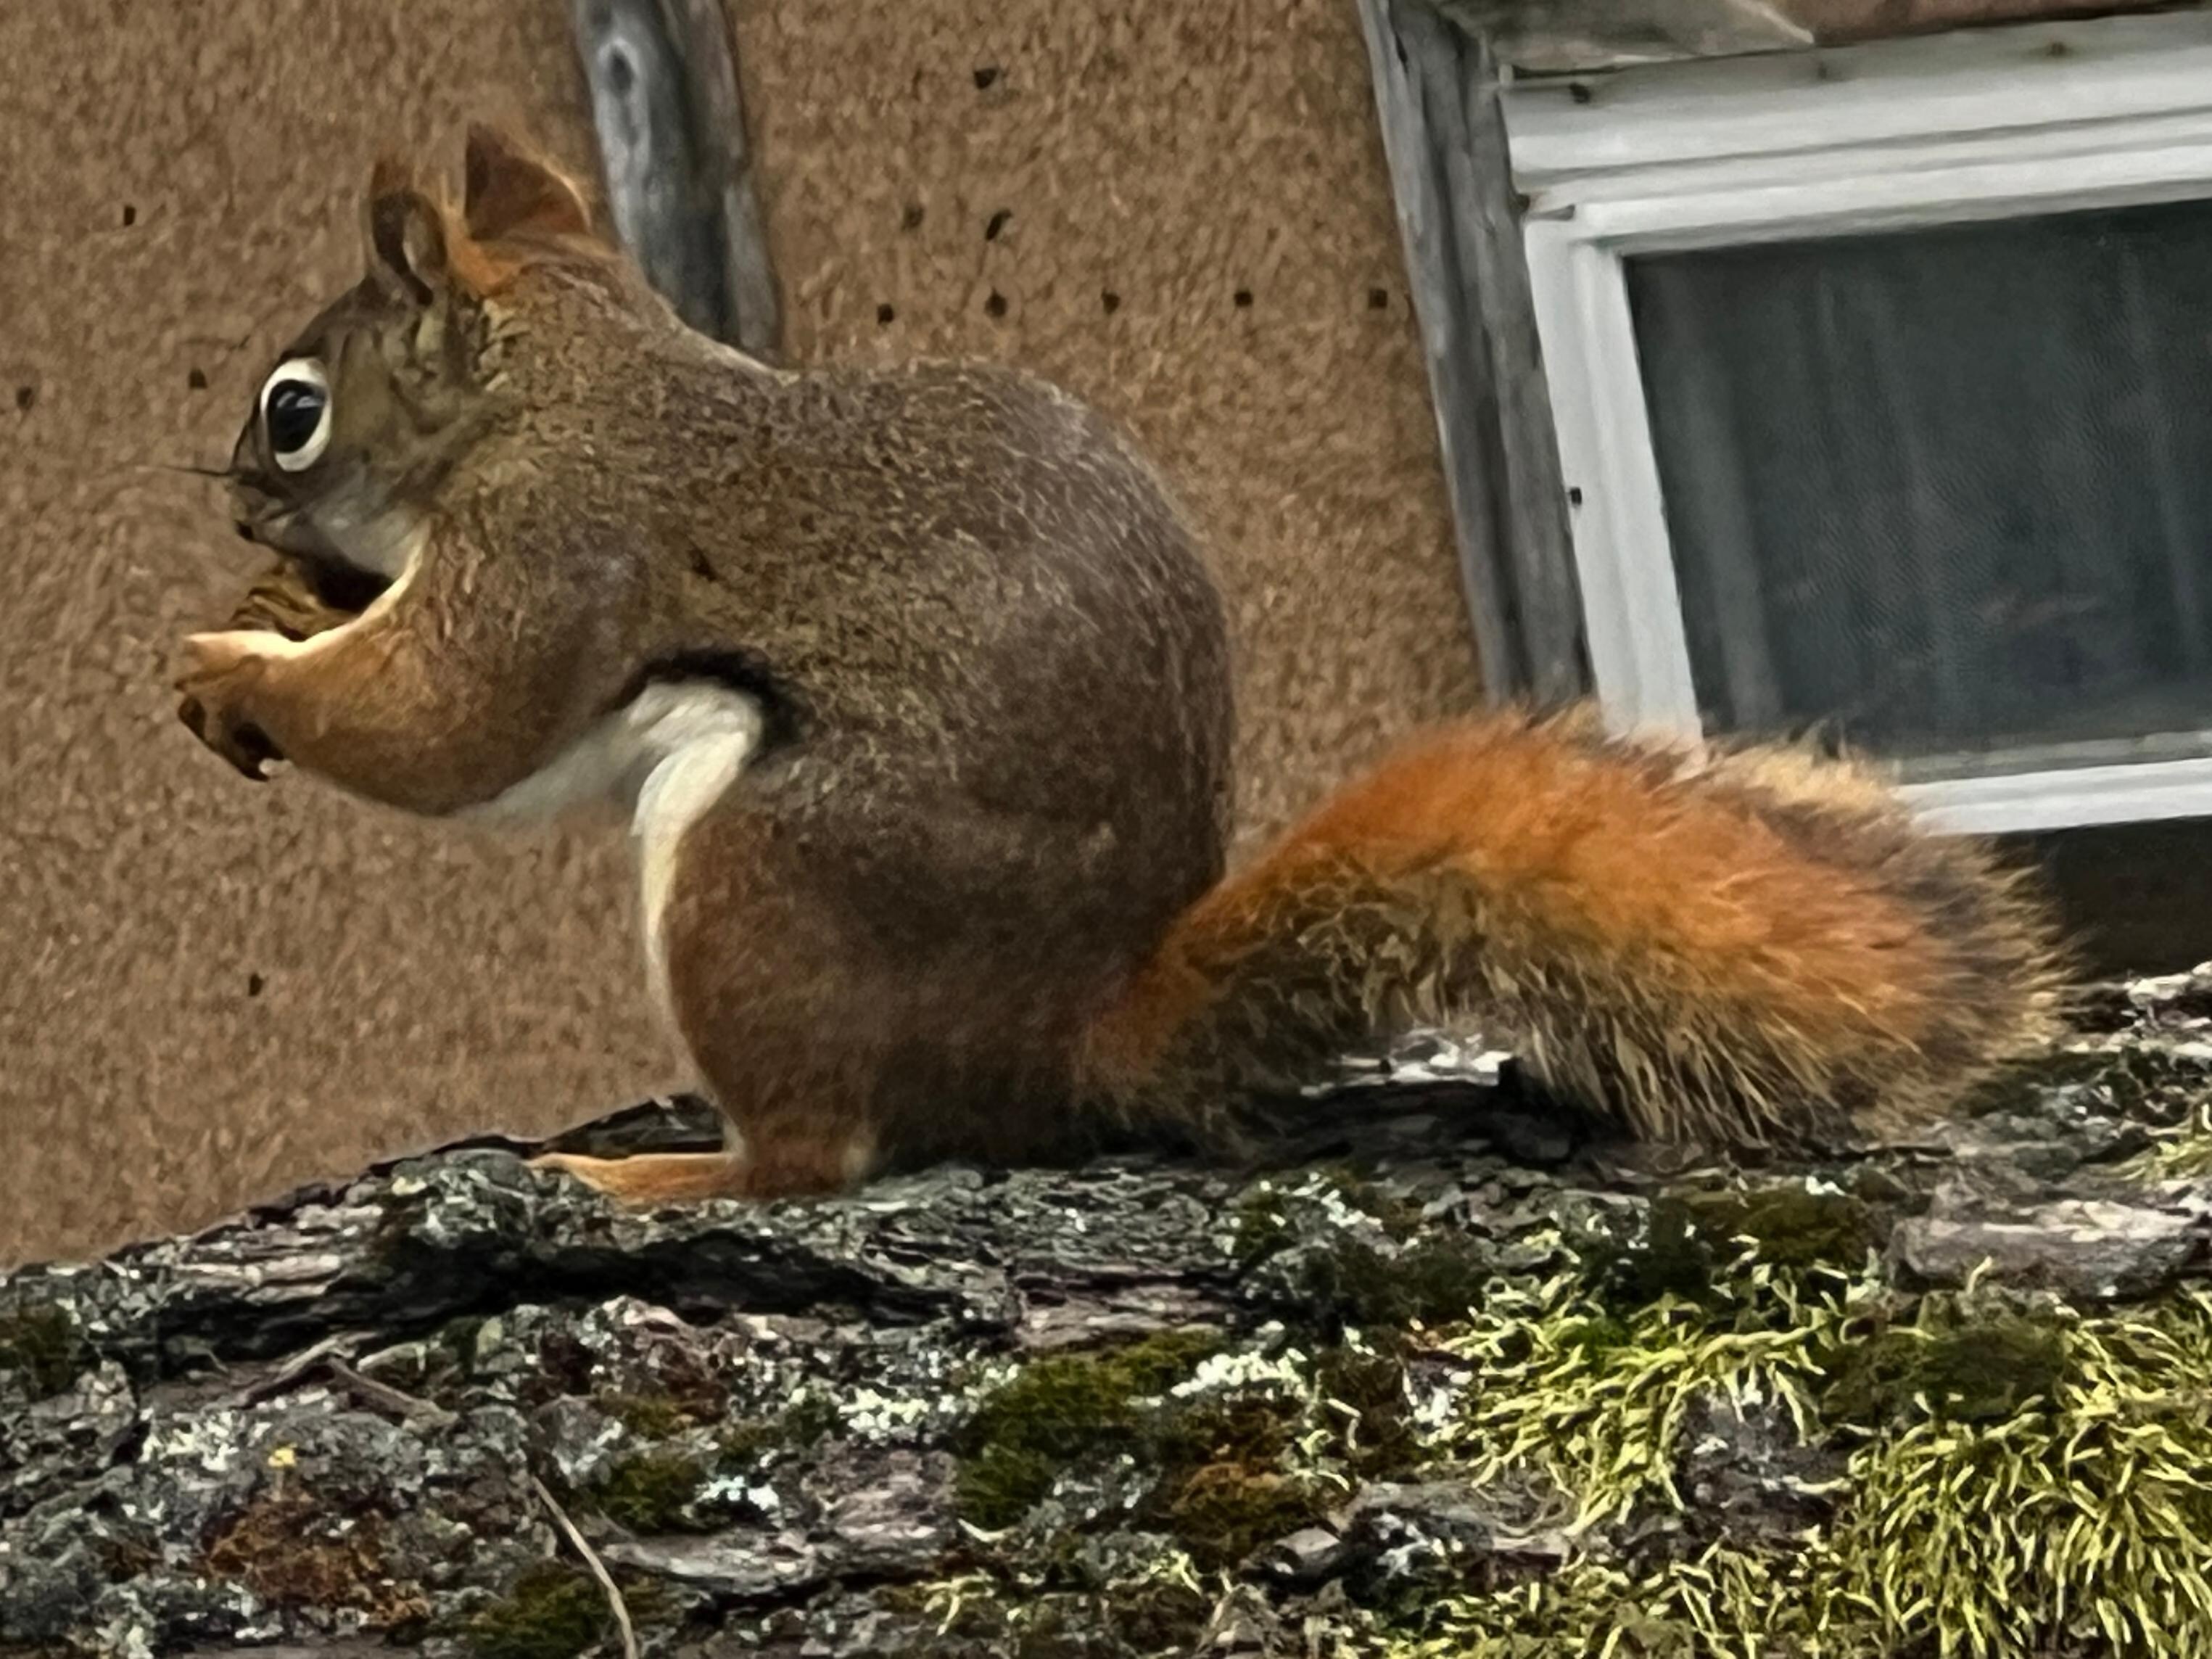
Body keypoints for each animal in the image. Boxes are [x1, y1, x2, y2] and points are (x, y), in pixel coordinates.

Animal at [175, 126, 2070, 1205]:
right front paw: (277, 611)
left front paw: (232, 664)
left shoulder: (561, 534)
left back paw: (662, 1175)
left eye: (295, 406)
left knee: (817, 1155)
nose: (237, 493)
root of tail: (1070, 1040)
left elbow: (450, 723)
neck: (561, 376)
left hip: (761, 876)